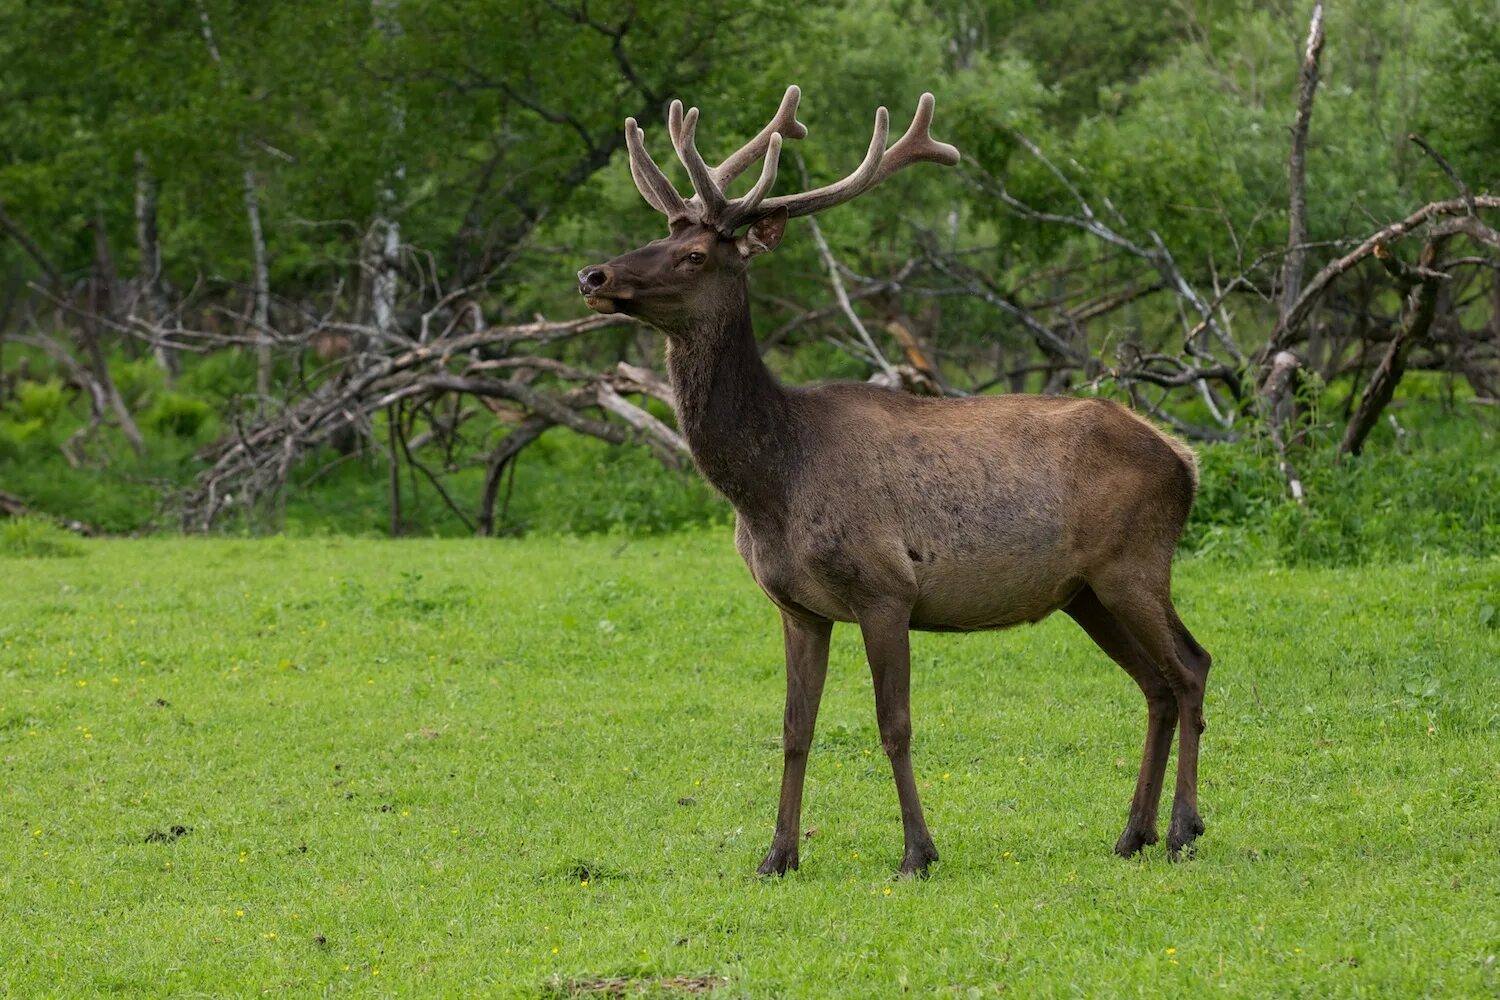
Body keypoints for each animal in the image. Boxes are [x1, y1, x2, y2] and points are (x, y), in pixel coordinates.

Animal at [579, 89, 1212, 881]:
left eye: (694, 255)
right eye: (658, 233)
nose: (595, 277)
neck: (768, 486)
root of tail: (1185, 460)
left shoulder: (886, 588)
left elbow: (895, 725)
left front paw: (917, 852)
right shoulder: (797, 607)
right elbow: (795, 727)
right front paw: (777, 854)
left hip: (1134, 563)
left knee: (1190, 667)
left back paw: (1184, 829)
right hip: (1086, 592)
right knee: (1156, 684)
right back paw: (1133, 834)